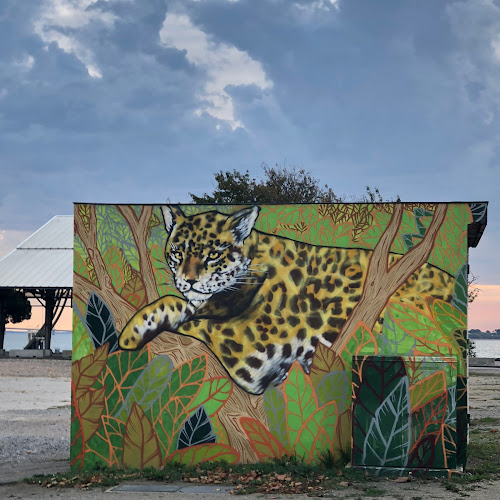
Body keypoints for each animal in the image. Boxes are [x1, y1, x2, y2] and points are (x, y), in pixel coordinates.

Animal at [117, 206, 454, 394]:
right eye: (177, 253)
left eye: (213, 255)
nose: (188, 280)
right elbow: (187, 306)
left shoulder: (249, 353)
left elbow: (190, 315)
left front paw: (131, 333)